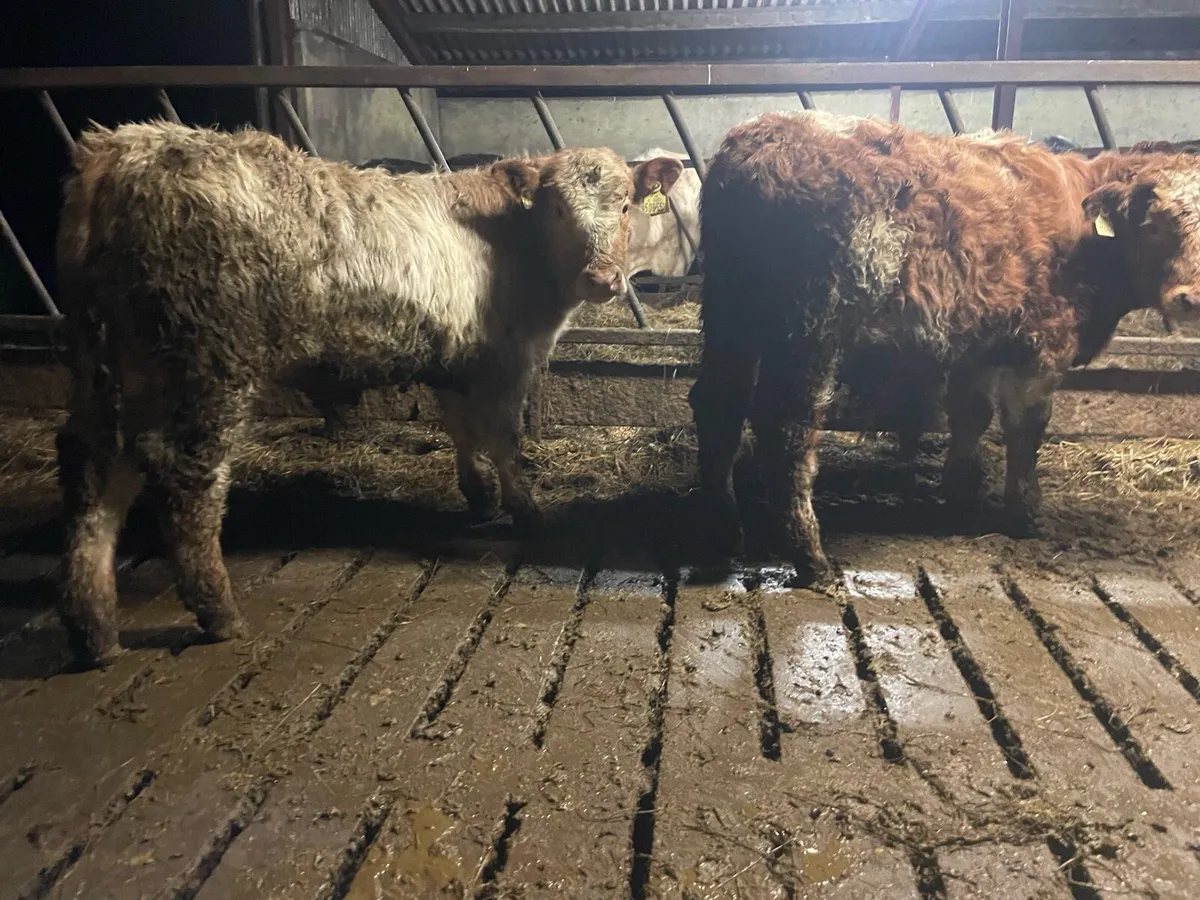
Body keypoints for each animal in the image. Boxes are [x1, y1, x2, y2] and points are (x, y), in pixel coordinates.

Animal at [54, 120, 684, 668]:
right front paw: (523, 508)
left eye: (624, 204)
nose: (601, 280)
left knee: (95, 468)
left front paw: (479, 498)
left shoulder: (456, 356)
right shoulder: (507, 358)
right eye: (557, 208)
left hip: (106, 365)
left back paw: (95, 628)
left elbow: (462, 429)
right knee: (182, 475)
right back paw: (218, 612)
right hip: (206, 363)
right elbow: (503, 437)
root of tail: (122, 149)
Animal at [691, 110, 1200, 589]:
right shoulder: (1041, 344)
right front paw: (1024, 513)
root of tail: (761, 139)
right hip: (812, 326)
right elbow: (1027, 427)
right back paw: (811, 558)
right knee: (787, 428)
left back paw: (723, 534)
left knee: (718, 405)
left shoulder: (978, 340)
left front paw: (961, 491)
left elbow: (970, 412)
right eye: (1154, 226)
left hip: (730, 316)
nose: (1190, 298)